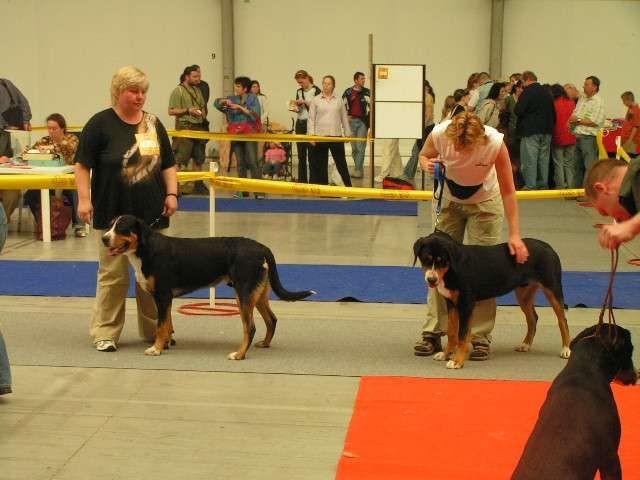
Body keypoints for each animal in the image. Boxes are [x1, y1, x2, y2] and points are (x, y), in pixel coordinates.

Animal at [100, 216, 318, 358]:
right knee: (271, 320)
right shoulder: (166, 298)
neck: (146, 250)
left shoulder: (162, 295)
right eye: (110, 225)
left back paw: (239, 354)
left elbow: (161, 326)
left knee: (250, 327)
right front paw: (167, 344)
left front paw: (156, 349)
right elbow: (167, 324)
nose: (104, 238)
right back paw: (264, 344)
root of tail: (261, 247)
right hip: (258, 293)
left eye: (122, 227)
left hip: (244, 293)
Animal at [412, 231, 572, 370]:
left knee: (562, 320)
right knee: (533, 318)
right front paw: (446, 354)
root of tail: (548, 246)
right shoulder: (451, 303)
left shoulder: (466, 304)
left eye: (442, 261)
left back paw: (566, 349)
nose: (431, 279)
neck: (453, 268)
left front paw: (457, 361)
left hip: (553, 289)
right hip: (524, 294)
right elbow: (452, 332)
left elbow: (462, 336)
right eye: (425, 259)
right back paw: (525, 344)